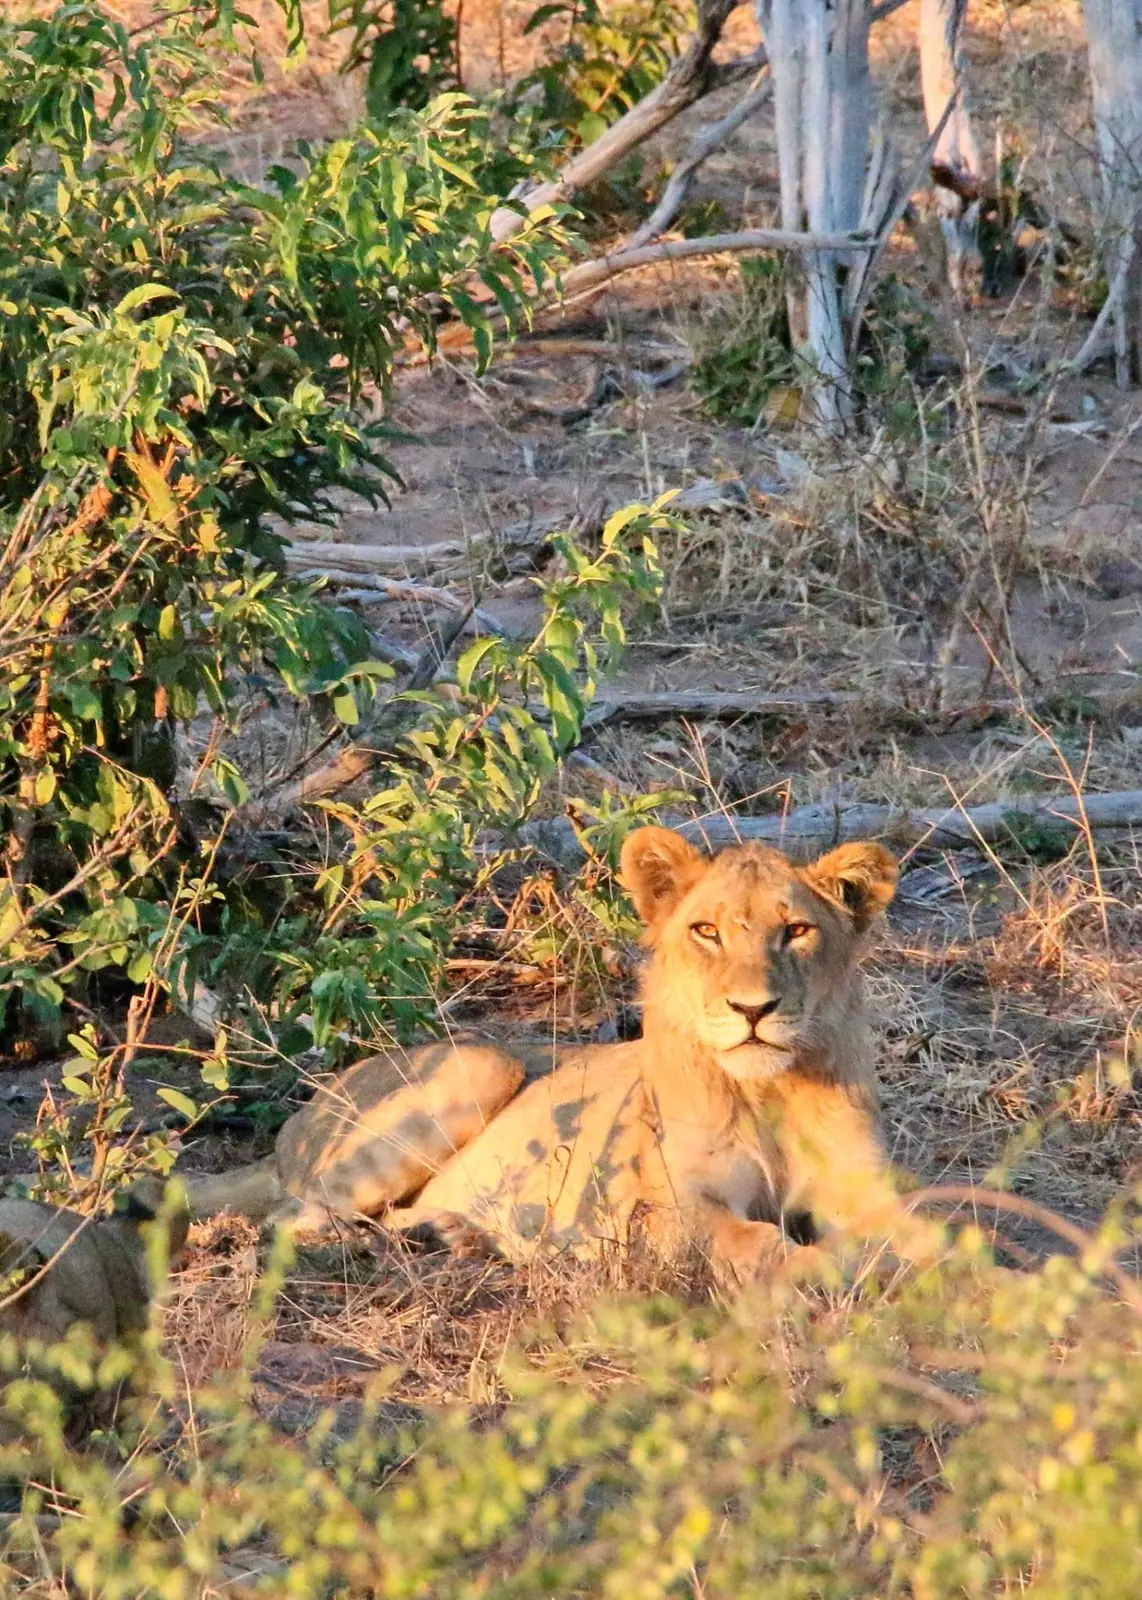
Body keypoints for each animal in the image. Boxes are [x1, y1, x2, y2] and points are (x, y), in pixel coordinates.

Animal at [188, 827, 938, 1282]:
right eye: (706, 931)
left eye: (797, 931)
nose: (752, 1010)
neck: (768, 1092)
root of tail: (295, 1126)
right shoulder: (664, 1214)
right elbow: (758, 1244)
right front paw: (831, 1266)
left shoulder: (863, 1187)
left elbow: (937, 1235)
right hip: (481, 1063)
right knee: (295, 1216)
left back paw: (450, 1234)